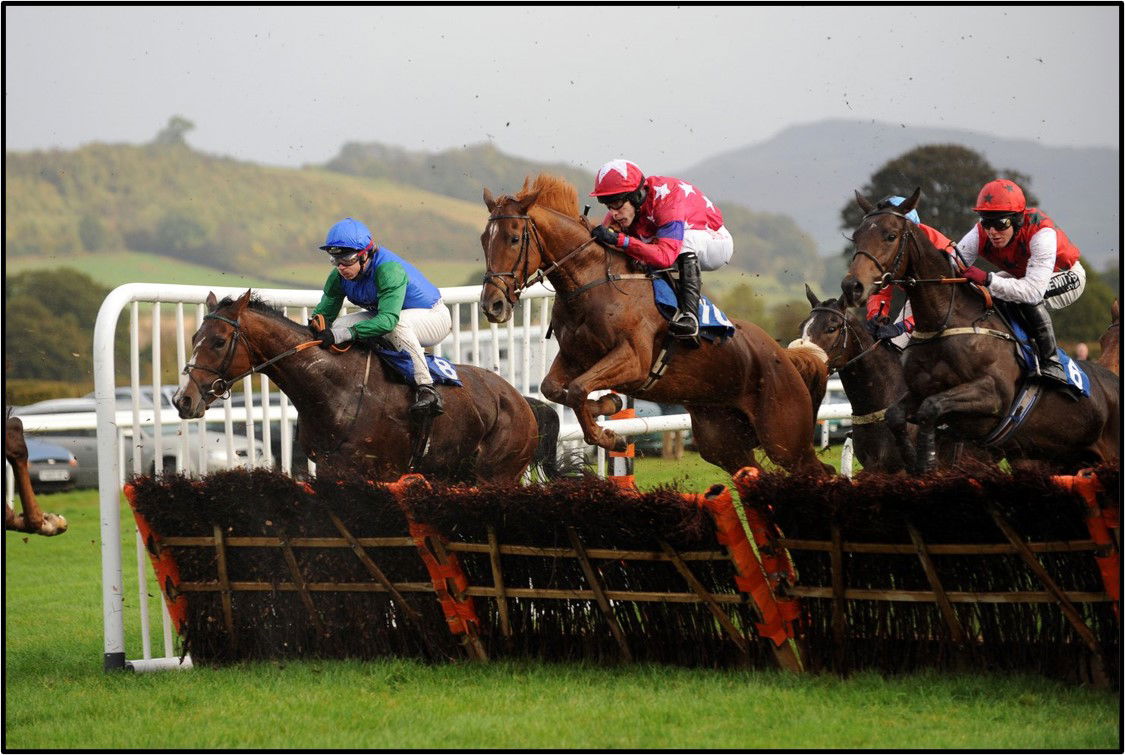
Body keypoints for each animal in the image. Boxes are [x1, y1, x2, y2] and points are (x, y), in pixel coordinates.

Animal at [175, 290, 558, 483]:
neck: (335, 388)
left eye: (219, 342)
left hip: (496, 474)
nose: (183, 399)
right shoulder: (331, 472)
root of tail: (521, 401)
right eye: (194, 338)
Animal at [474, 174, 828, 474]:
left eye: (514, 239)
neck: (593, 281)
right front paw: (607, 404)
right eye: (483, 240)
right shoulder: (576, 357)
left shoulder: (634, 360)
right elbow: (554, 388)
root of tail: (784, 355)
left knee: (819, 470)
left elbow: (576, 389)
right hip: (722, 440)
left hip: (785, 437)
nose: (492, 305)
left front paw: (610, 434)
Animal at [841, 189, 1120, 472]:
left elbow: (931, 408)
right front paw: (913, 459)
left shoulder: (994, 394)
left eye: (890, 235)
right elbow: (896, 414)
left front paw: (928, 459)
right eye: (856, 236)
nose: (852, 286)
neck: (944, 321)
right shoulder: (917, 392)